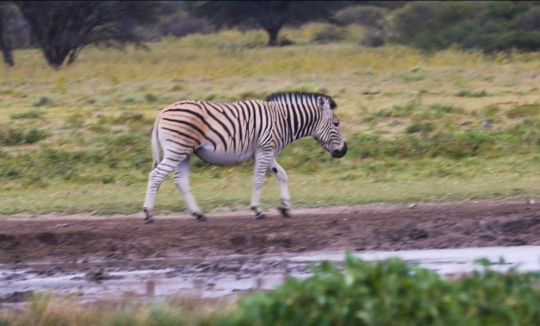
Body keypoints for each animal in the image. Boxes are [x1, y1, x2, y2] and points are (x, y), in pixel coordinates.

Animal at [141, 91, 348, 224]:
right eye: (336, 124)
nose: (344, 151)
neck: (283, 120)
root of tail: (162, 112)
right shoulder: (265, 150)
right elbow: (258, 180)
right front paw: (257, 210)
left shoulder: (264, 151)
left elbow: (282, 175)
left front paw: (285, 207)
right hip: (177, 150)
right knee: (156, 175)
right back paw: (148, 214)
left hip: (184, 153)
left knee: (181, 182)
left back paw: (198, 214)